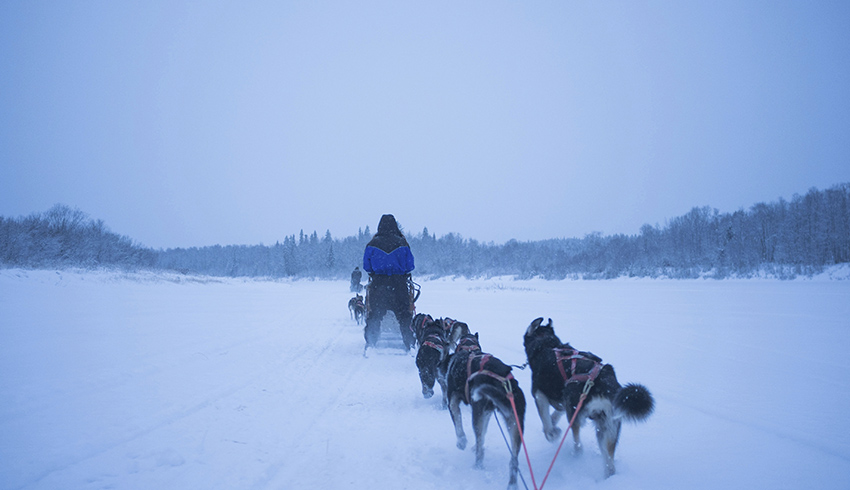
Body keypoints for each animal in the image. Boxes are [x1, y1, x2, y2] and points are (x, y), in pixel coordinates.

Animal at [444, 332, 524, 488]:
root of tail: (504, 381)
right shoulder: (486, 413)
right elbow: (483, 434)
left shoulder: (453, 401)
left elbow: (458, 424)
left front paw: (461, 442)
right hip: (515, 423)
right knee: (514, 460)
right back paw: (512, 484)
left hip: (478, 412)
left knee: (480, 451)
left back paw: (477, 466)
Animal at [520, 318, 652, 478]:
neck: (546, 343)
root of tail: (605, 384)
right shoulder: (563, 401)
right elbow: (555, 414)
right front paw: (554, 423)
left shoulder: (540, 395)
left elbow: (546, 422)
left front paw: (552, 433)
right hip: (607, 428)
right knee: (609, 464)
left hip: (575, 412)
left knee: (579, 445)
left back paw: (574, 455)